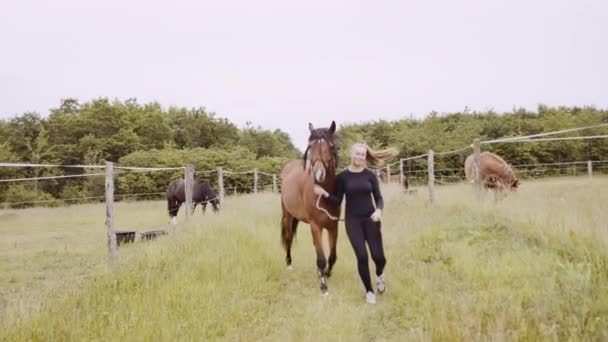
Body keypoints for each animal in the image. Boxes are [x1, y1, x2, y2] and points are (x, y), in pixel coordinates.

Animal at [280, 121, 342, 296]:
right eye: (310, 146)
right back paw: (289, 264)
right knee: (288, 238)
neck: (323, 194)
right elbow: (321, 259)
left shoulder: (333, 226)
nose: (318, 174)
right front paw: (324, 287)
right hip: (288, 215)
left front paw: (326, 274)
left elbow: (332, 256)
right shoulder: (316, 226)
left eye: (332, 146)